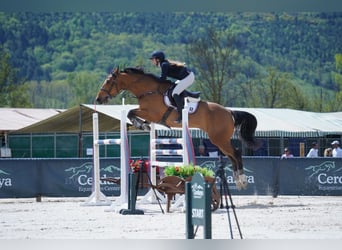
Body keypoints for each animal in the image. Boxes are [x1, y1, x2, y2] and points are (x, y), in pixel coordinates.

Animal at [95, 67, 260, 189]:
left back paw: (242, 181)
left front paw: (142, 125)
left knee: (236, 153)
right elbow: (132, 113)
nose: (98, 99)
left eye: (108, 81)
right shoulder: (149, 114)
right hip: (219, 140)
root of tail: (229, 112)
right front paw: (144, 125)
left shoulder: (152, 113)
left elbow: (131, 112)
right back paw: (238, 181)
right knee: (232, 156)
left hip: (219, 139)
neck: (149, 90)